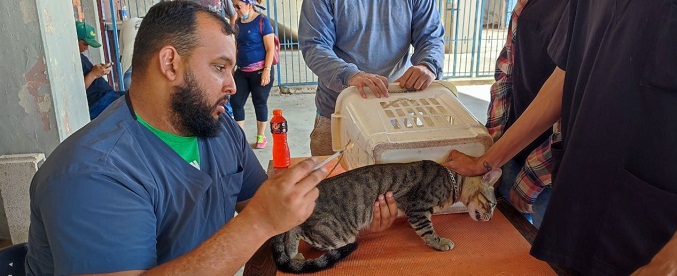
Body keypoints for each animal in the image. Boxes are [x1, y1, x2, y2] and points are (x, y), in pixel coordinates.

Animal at [272, 160, 500, 274]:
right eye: (493, 204)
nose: (490, 218)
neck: (452, 183)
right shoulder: (418, 208)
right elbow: (428, 231)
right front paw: (440, 242)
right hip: (339, 234)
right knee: (303, 233)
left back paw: (294, 255)